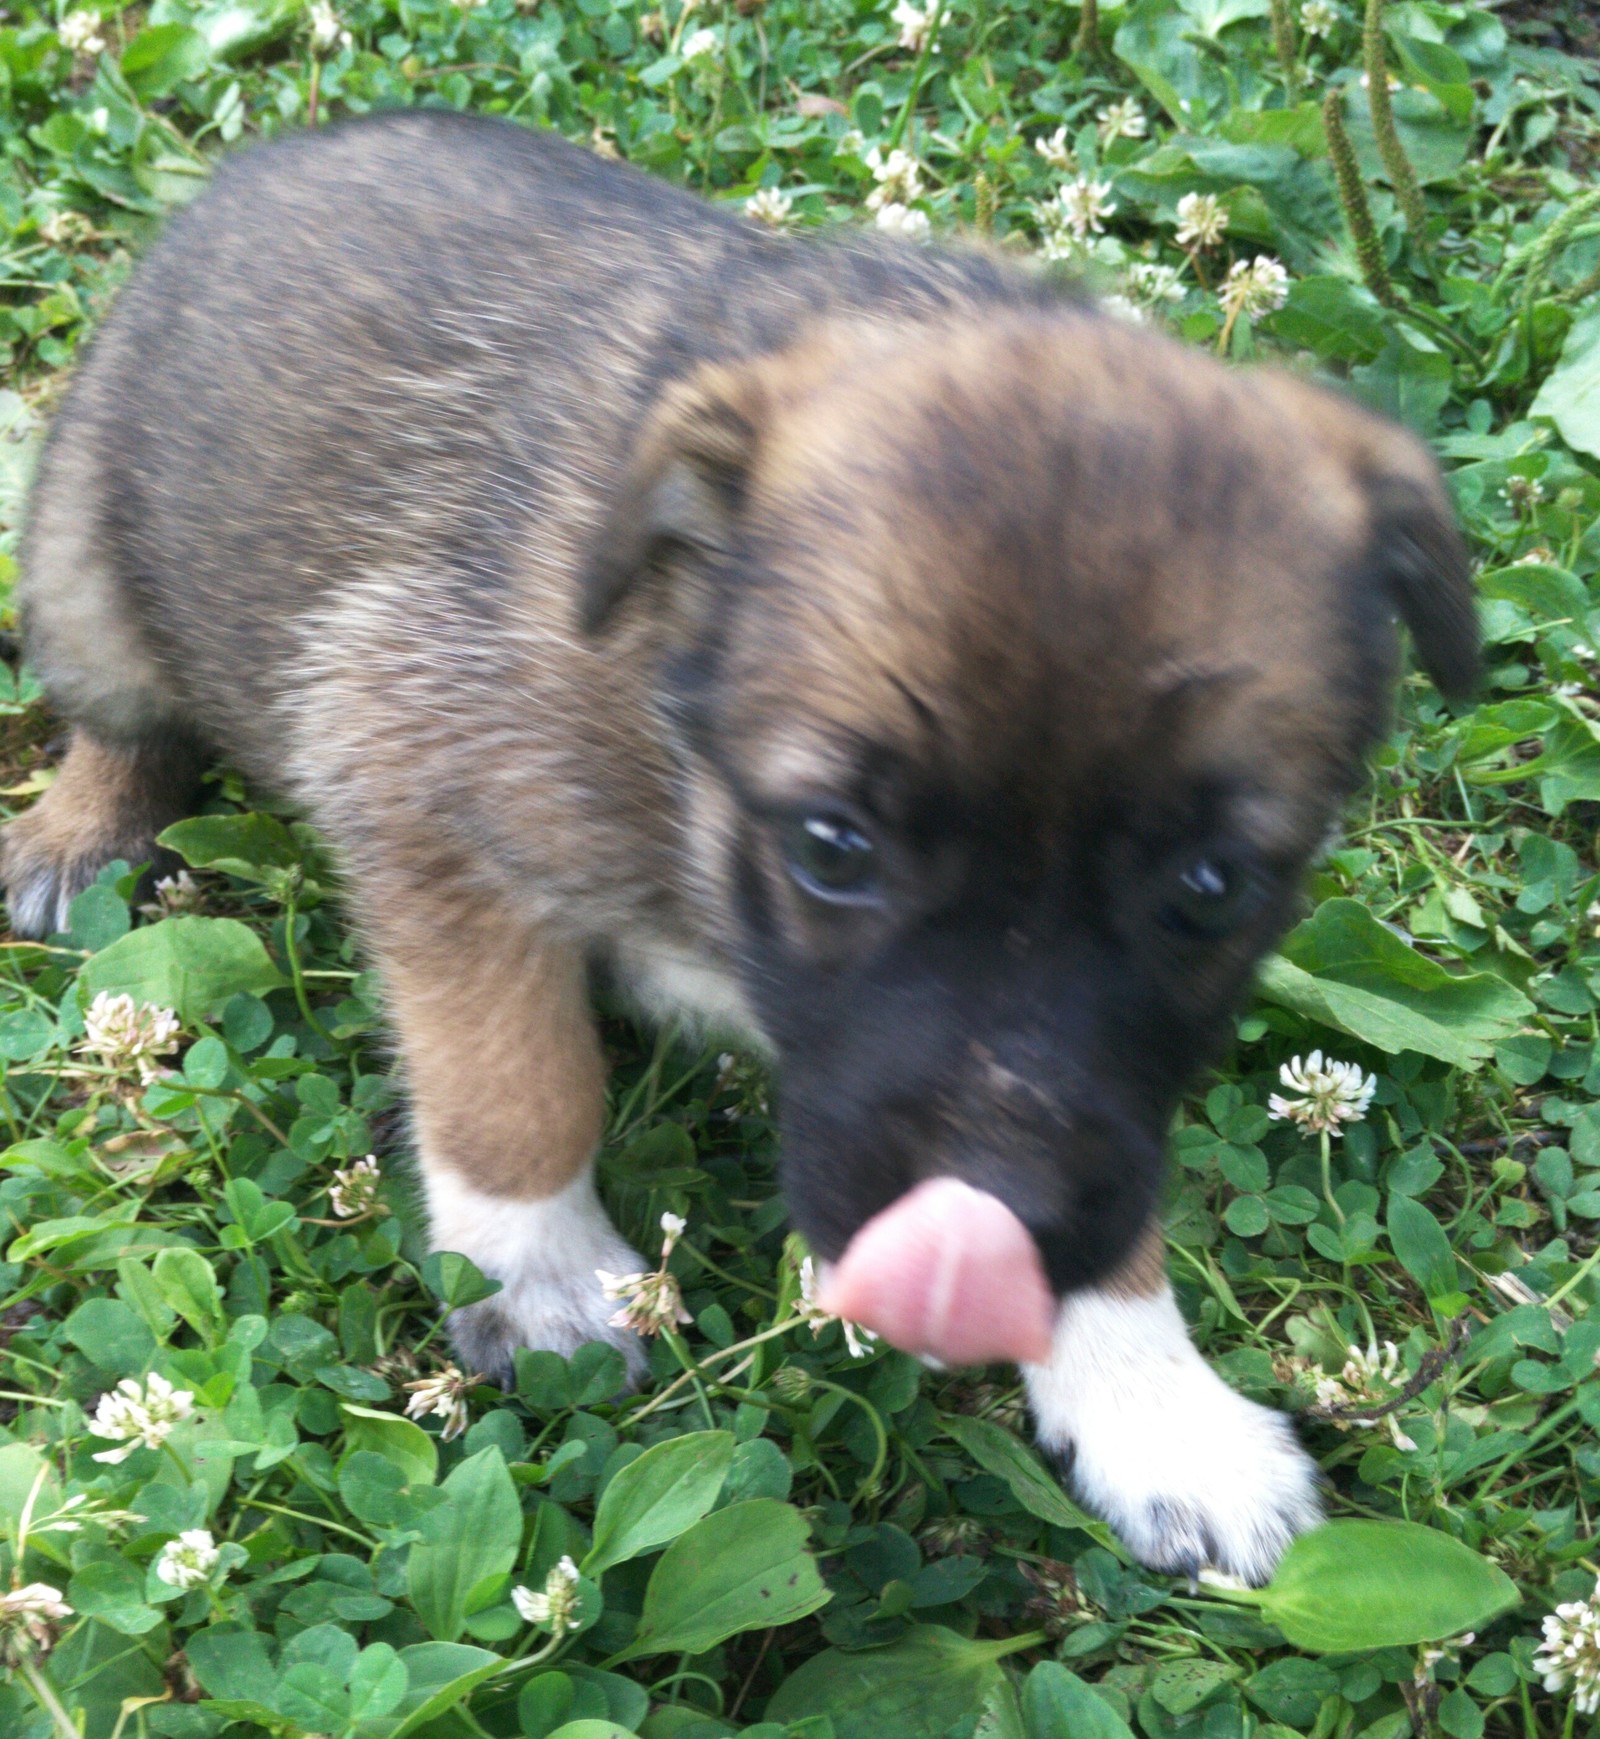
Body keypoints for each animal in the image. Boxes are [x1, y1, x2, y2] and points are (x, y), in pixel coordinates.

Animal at [3, 105, 1474, 1579]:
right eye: (832, 845)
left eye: (1211, 887)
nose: (981, 1243)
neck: (675, 709)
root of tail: (260, 166)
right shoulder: (420, 802)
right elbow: (513, 1089)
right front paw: (544, 1277)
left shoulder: (1095, 1103)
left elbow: (1114, 1180)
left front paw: (1156, 1408)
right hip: (86, 579)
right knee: (120, 721)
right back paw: (79, 835)